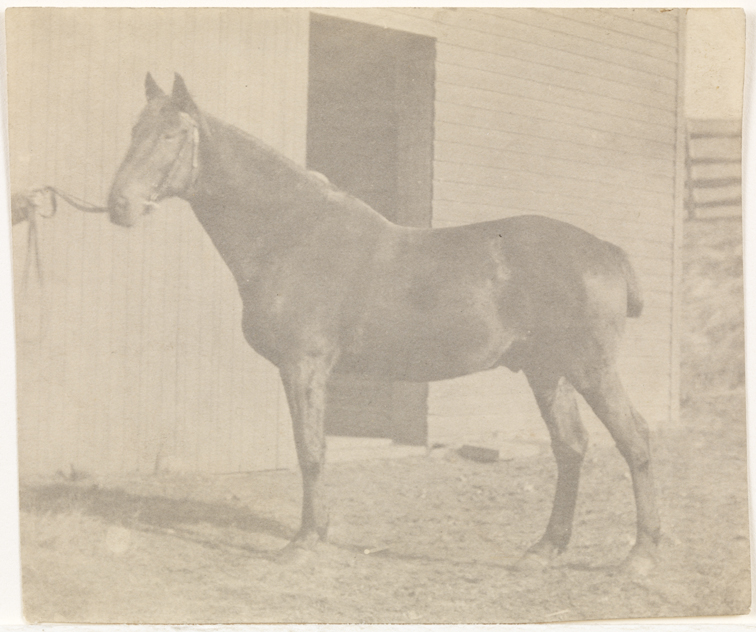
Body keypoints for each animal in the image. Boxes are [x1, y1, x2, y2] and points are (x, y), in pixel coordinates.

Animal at [107, 73, 660, 573]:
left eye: (172, 134)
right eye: (133, 130)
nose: (119, 205)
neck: (291, 232)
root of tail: (604, 250)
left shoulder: (303, 366)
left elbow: (310, 450)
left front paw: (305, 542)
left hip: (589, 369)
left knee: (634, 439)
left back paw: (640, 554)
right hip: (548, 372)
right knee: (571, 448)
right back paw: (544, 549)